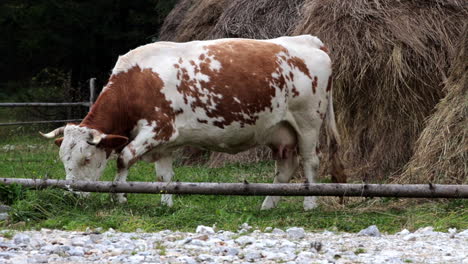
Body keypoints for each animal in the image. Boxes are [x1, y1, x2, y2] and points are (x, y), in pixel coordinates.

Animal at [42, 34, 346, 210]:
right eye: (63, 159)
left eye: (86, 159)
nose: (73, 194)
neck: (135, 83)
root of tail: (308, 40)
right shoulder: (163, 145)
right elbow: (164, 176)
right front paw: (166, 203)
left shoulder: (159, 129)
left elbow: (124, 157)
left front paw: (120, 196)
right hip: (279, 131)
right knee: (285, 168)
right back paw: (267, 205)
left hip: (308, 122)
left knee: (310, 162)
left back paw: (309, 204)